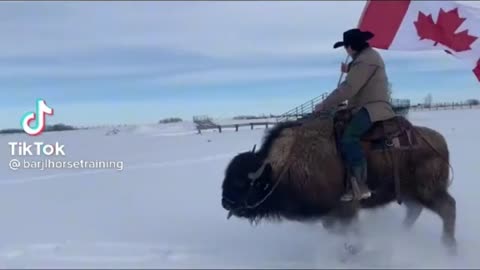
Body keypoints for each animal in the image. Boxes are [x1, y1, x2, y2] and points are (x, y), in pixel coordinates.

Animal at [219, 112, 456, 255]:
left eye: (240, 183)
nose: (225, 203)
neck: (283, 167)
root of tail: (440, 140)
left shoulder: (345, 209)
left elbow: (349, 231)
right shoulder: (332, 214)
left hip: (428, 191)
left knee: (447, 208)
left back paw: (449, 247)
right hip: (408, 194)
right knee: (415, 211)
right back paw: (403, 233)